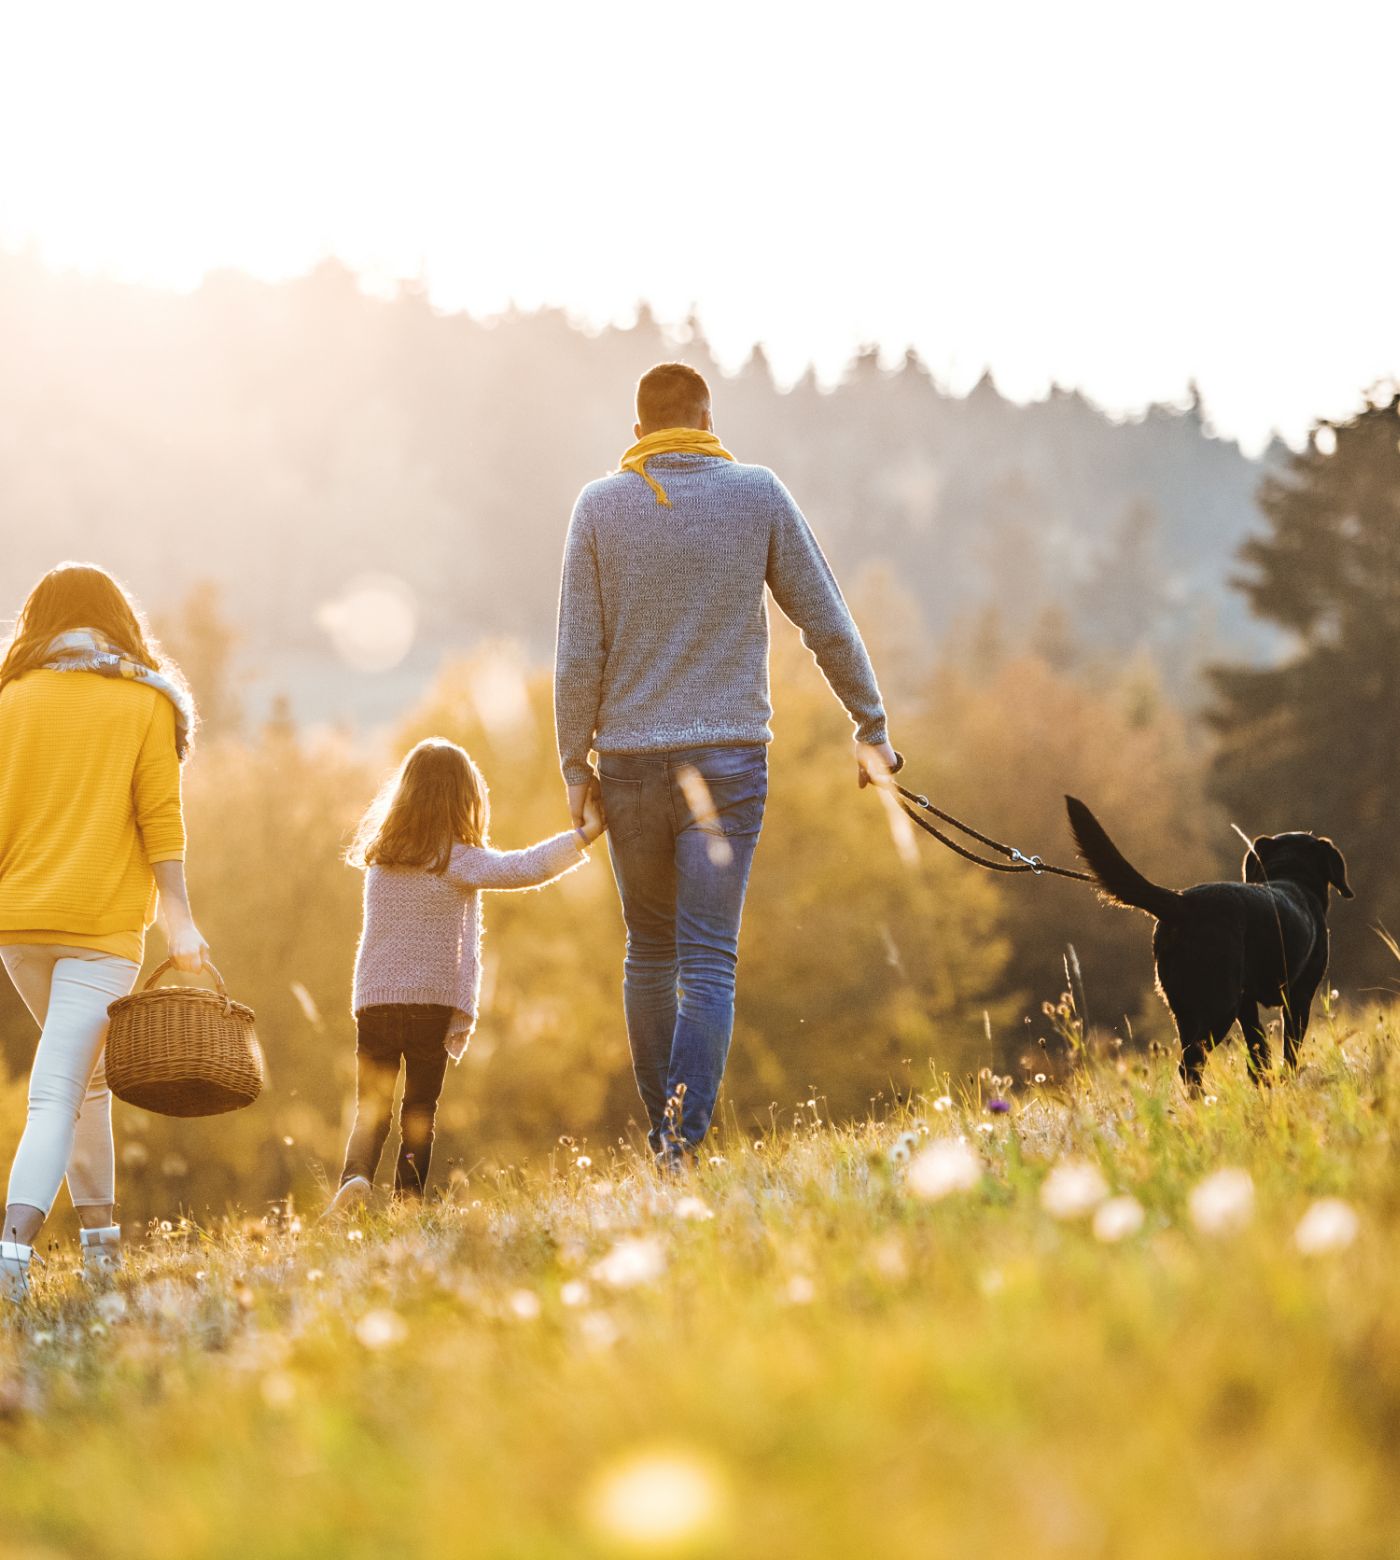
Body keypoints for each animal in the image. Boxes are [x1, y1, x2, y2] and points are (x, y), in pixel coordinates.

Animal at [1067, 798, 1348, 1092]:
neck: (1291, 877)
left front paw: (1265, 1083)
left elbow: (1258, 1049)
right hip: (1218, 1006)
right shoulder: (1299, 996)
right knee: (1191, 1063)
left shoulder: (1247, 1002)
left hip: (1184, 1008)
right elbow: (1290, 1050)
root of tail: (1181, 902)